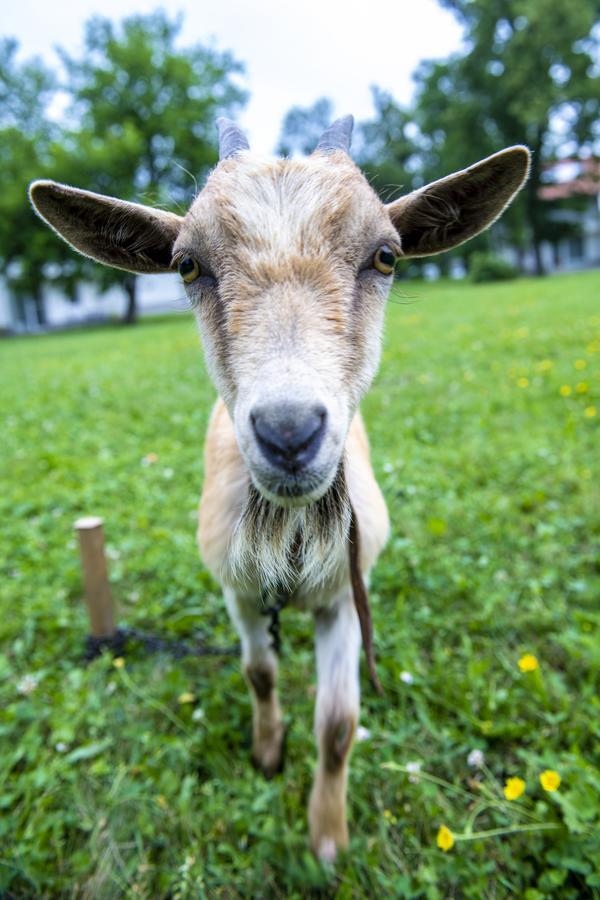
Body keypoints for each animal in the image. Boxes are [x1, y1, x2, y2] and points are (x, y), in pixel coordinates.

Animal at [29, 116, 528, 860]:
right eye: (187, 264)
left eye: (386, 255)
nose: (290, 432)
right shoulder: (237, 593)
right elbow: (259, 674)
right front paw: (267, 753)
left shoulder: (346, 597)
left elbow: (339, 723)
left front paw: (327, 838)